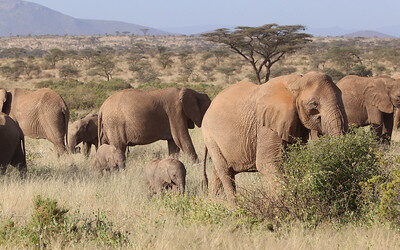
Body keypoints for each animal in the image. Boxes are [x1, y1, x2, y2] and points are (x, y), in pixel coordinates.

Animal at [202, 71, 348, 203]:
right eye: (314, 104)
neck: (297, 82)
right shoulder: (266, 125)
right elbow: (267, 162)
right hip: (210, 136)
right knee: (225, 172)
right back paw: (235, 208)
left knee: (219, 173)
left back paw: (213, 203)